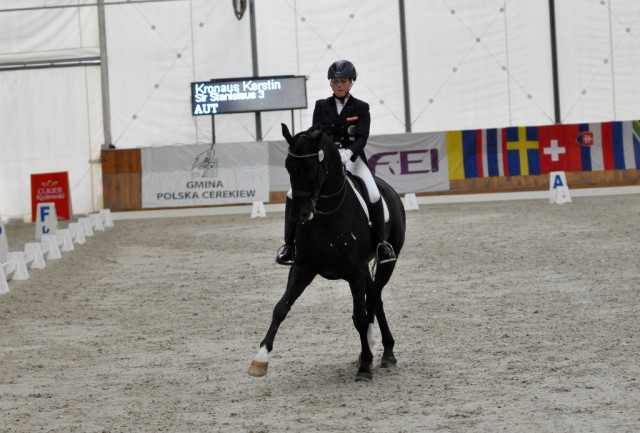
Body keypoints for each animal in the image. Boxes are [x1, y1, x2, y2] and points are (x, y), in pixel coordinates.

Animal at [248, 124, 408, 382]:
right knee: (376, 299)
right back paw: (384, 351)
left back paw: (380, 353)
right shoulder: (303, 267)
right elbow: (281, 307)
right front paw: (260, 358)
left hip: (386, 263)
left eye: (313, 166)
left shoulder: (354, 271)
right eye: (288, 166)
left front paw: (365, 367)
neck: (327, 214)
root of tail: (389, 190)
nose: (300, 214)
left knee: (373, 299)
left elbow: (360, 316)